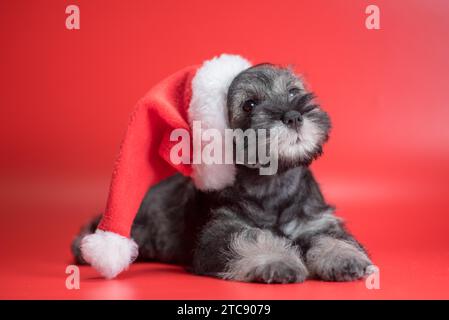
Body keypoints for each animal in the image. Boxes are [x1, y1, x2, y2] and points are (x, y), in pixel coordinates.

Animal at [72, 63, 372, 284]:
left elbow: (333, 237)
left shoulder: (317, 222)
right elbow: (250, 239)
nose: (294, 116)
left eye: (292, 91)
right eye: (249, 105)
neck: (273, 183)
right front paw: (277, 261)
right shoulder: (218, 233)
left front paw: (347, 258)